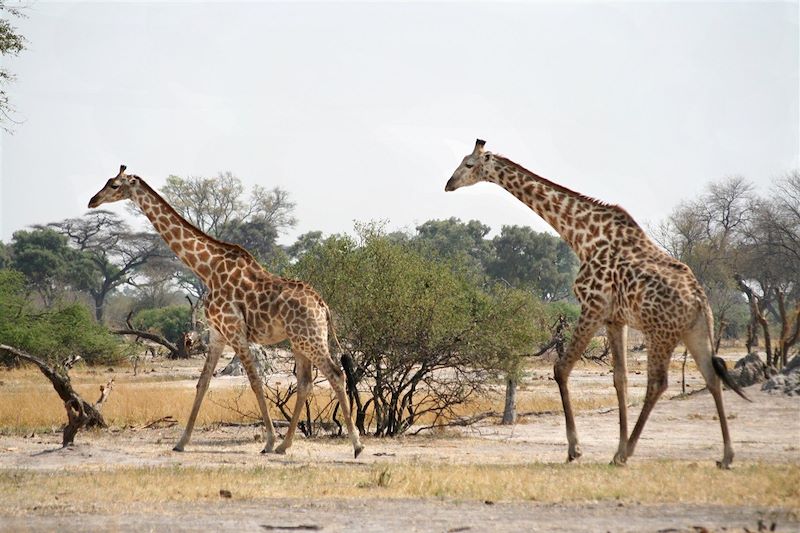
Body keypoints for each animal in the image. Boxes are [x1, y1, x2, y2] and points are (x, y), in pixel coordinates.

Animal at [89, 165, 364, 458]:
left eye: (115, 185)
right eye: (107, 182)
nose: (92, 201)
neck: (206, 269)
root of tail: (324, 306)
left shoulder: (235, 331)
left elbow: (255, 381)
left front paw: (267, 440)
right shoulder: (217, 334)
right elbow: (203, 383)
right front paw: (181, 442)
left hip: (310, 338)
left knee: (335, 374)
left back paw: (356, 445)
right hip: (299, 341)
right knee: (305, 383)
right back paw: (285, 445)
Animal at [446, 139, 748, 468]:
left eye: (469, 164)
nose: (449, 184)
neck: (581, 236)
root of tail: (698, 299)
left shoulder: (592, 306)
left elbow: (561, 369)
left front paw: (575, 449)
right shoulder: (615, 319)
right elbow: (620, 379)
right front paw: (612, 446)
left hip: (660, 333)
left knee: (659, 382)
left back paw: (629, 453)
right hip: (695, 331)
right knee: (712, 377)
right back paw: (726, 456)